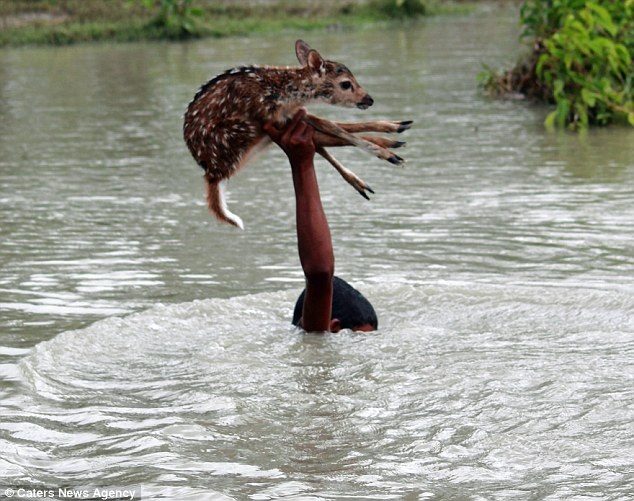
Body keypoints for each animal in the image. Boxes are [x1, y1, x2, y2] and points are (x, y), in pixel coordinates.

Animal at [183, 40, 410, 229]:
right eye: (346, 83)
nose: (368, 99)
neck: (286, 93)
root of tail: (211, 174)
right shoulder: (272, 116)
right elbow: (333, 127)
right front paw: (387, 151)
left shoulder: (290, 114)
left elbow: (331, 125)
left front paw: (391, 132)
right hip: (242, 133)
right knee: (322, 137)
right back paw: (389, 150)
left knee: (321, 137)